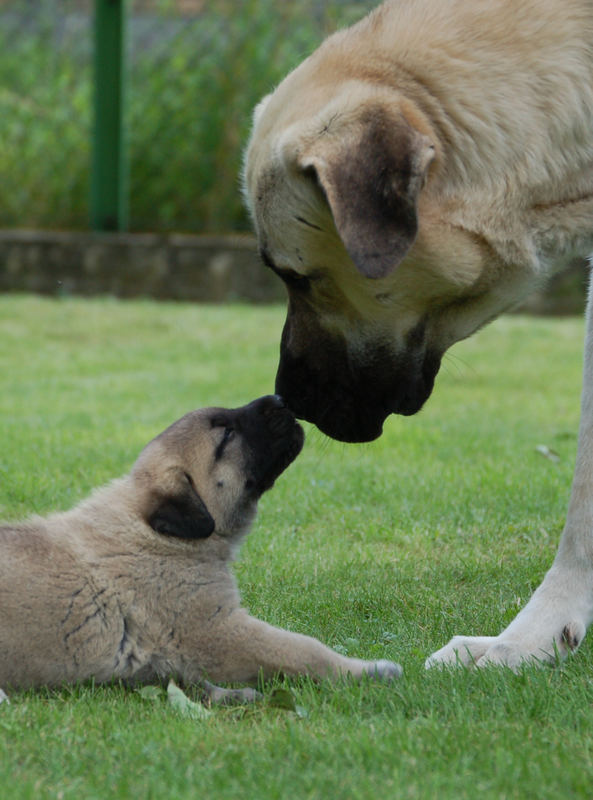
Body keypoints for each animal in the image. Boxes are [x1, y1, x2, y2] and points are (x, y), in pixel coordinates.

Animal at [0, 396, 400, 700]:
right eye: (227, 434)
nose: (279, 399)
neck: (160, 535)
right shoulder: (216, 631)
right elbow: (304, 649)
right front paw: (368, 670)